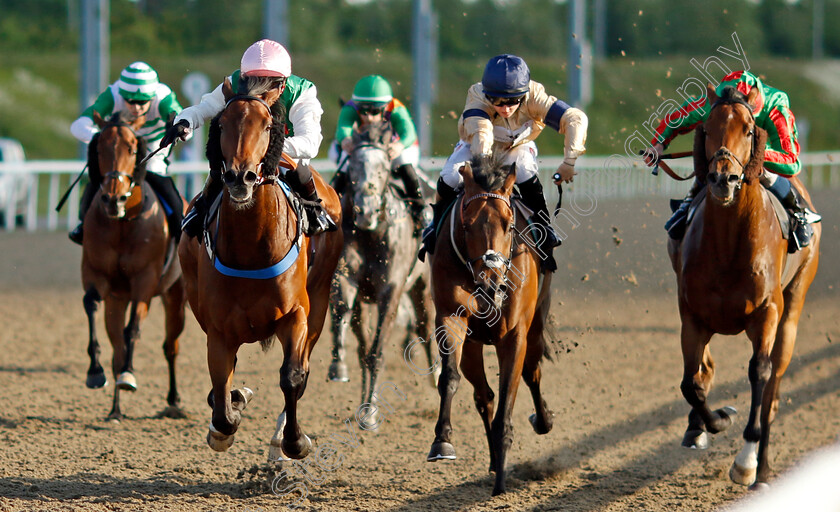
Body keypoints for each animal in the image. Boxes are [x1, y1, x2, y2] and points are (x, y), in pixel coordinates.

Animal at [81, 111, 186, 420]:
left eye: (131, 148)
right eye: (99, 148)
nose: (112, 198)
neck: (122, 224)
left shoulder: (145, 280)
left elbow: (133, 330)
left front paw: (129, 375)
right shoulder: (96, 275)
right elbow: (91, 305)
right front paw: (95, 371)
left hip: (175, 296)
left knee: (170, 346)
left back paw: (174, 400)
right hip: (118, 299)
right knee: (116, 345)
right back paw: (115, 409)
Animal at [179, 77, 342, 460]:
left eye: (268, 125)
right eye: (222, 124)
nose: (241, 177)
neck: (251, 249)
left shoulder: (296, 314)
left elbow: (292, 376)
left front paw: (294, 441)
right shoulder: (218, 327)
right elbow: (221, 393)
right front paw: (226, 419)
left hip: (320, 301)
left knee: (304, 368)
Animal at [326, 121, 436, 428]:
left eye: (385, 166)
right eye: (352, 165)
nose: (366, 211)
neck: (372, 234)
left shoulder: (392, 290)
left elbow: (377, 352)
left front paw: (371, 412)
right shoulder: (346, 279)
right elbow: (344, 315)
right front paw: (339, 368)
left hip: (423, 286)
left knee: (425, 326)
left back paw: (436, 375)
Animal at [426, 157, 556, 496]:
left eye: (509, 225)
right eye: (466, 224)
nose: (490, 286)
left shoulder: (514, 336)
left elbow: (508, 399)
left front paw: (501, 483)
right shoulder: (451, 319)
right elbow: (449, 378)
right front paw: (442, 441)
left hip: (535, 328)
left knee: (532, 372)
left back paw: (543, 421)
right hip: (473, 346)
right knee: (483, 396)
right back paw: (495, 459)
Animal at [668, 86, 820, 490]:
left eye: (749, 130)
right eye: (707, 128)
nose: (724, 179)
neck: (728, 246)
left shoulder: (767, 312)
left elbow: (760, 373)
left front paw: (746, 462)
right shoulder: (692, 315)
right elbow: (690, 383)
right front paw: (715, 420)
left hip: (794, 305)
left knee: (773, 390)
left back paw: (762, 469)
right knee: (704, 370)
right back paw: (698, 427)